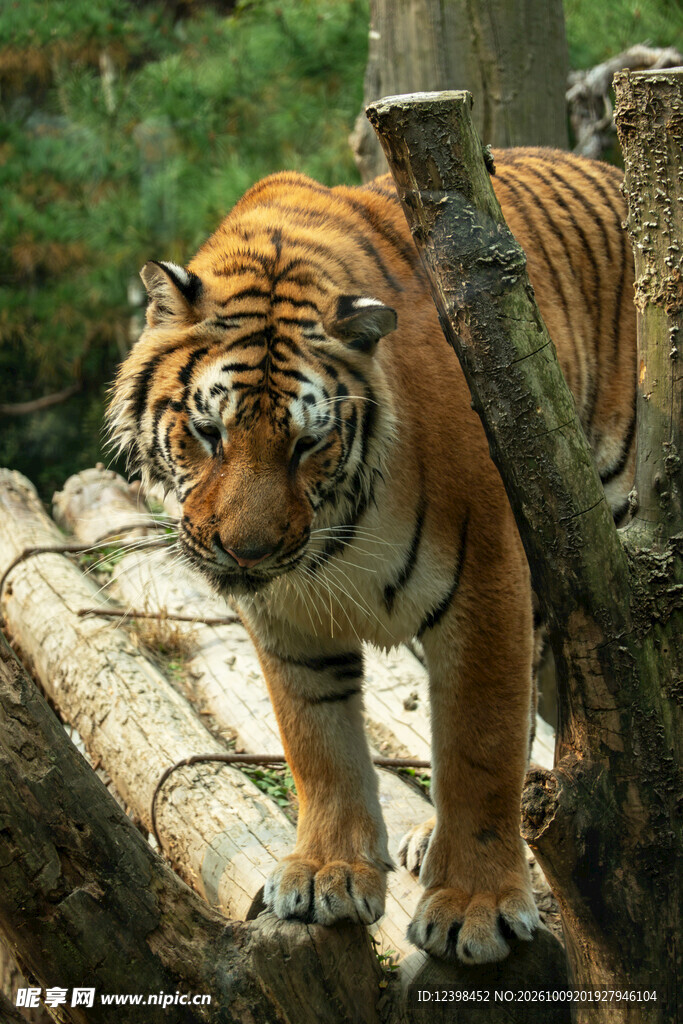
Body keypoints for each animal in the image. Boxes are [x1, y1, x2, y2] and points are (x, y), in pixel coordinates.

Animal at [108, 147, 635, 964]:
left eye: (307, 443)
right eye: (208, 433)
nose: (247, 553)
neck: (335, 531)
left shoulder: (486, 582)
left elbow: (479, 747)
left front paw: (475, 908)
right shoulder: (288, 618)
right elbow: (317, 745)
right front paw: (326, 874)